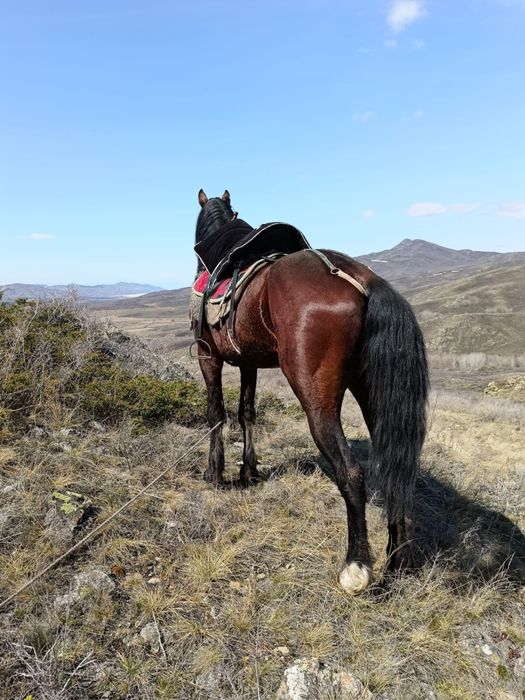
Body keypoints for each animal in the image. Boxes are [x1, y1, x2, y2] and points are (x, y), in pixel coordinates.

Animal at [191, 189, 428, 594]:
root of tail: (362, 280)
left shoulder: (209, 356)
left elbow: (216, 413)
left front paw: (215, 473)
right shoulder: (249, 362)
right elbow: (247, 412)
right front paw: (249, 471)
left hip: (316, 400)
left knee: (351, 472)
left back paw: (357, 566)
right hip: (374, 398)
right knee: (395, 469)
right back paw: (396, 560)